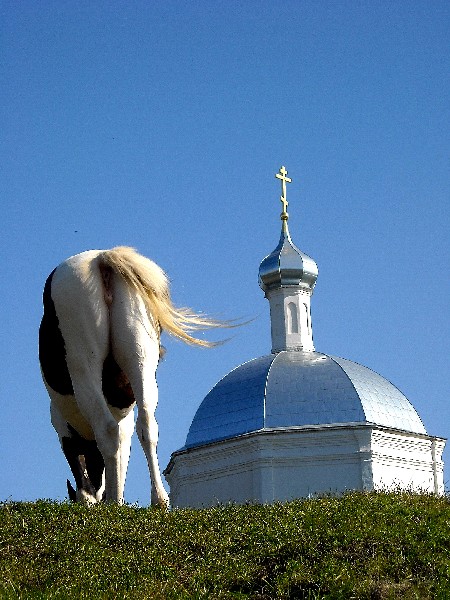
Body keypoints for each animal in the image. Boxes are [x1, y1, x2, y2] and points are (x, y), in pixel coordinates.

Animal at [39, 246, 222, 504]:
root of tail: (102, 259)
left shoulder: (63, 429)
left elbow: (83, 473)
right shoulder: (124, 425)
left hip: (84, 365)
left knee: (107, 429)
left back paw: (116, 502)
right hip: (141, 357)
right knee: (147, 425)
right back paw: (158, 500)